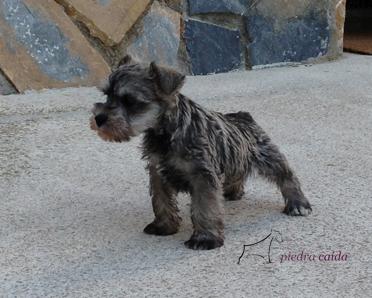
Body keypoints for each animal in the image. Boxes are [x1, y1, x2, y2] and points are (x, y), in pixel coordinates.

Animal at [90, 55, 310, 249]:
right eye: (106, 95)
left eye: (130, 100)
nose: (99, 118)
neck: (167, 132)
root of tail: (243, 116)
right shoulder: (157, 172)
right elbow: (161, 201)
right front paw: (164, 226)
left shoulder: (202, 176)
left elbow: (205, 208)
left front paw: (205, 238)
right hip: (235, 159)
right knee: (238, 173)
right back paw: (232, 192)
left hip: (268, 157)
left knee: (287, 176)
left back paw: (298, 204)